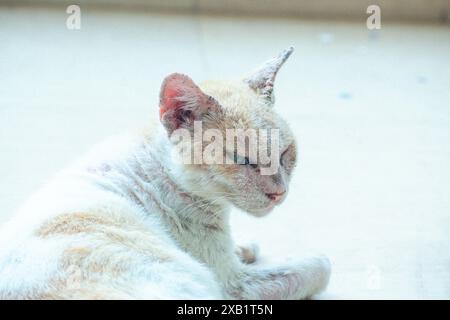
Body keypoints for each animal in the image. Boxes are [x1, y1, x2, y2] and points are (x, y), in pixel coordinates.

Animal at [0, 47, 330, 300]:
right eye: (242, 159)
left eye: (285, 153)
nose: (279, 193)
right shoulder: (235, 285)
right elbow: (322, 264)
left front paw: (243, 247)